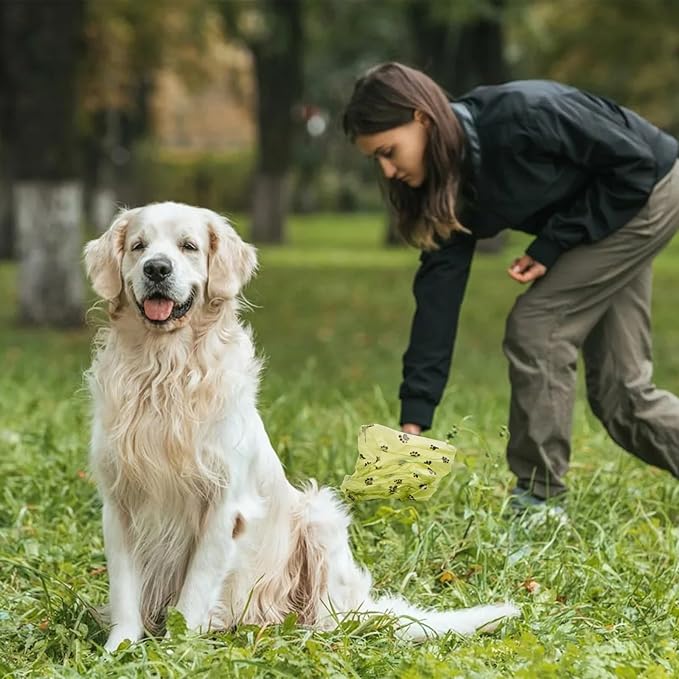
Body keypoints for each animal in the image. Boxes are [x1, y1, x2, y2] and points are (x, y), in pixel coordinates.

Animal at [85, 203, 520, 652]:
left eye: (188, 246)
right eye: (138, 246)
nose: (156, 268)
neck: (164, 371)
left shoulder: (224, 505)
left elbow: (193, 594)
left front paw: (174, 649)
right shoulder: (119, 502)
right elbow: (125, 592)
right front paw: (119, 650)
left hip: (320, 516)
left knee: (332, 618)